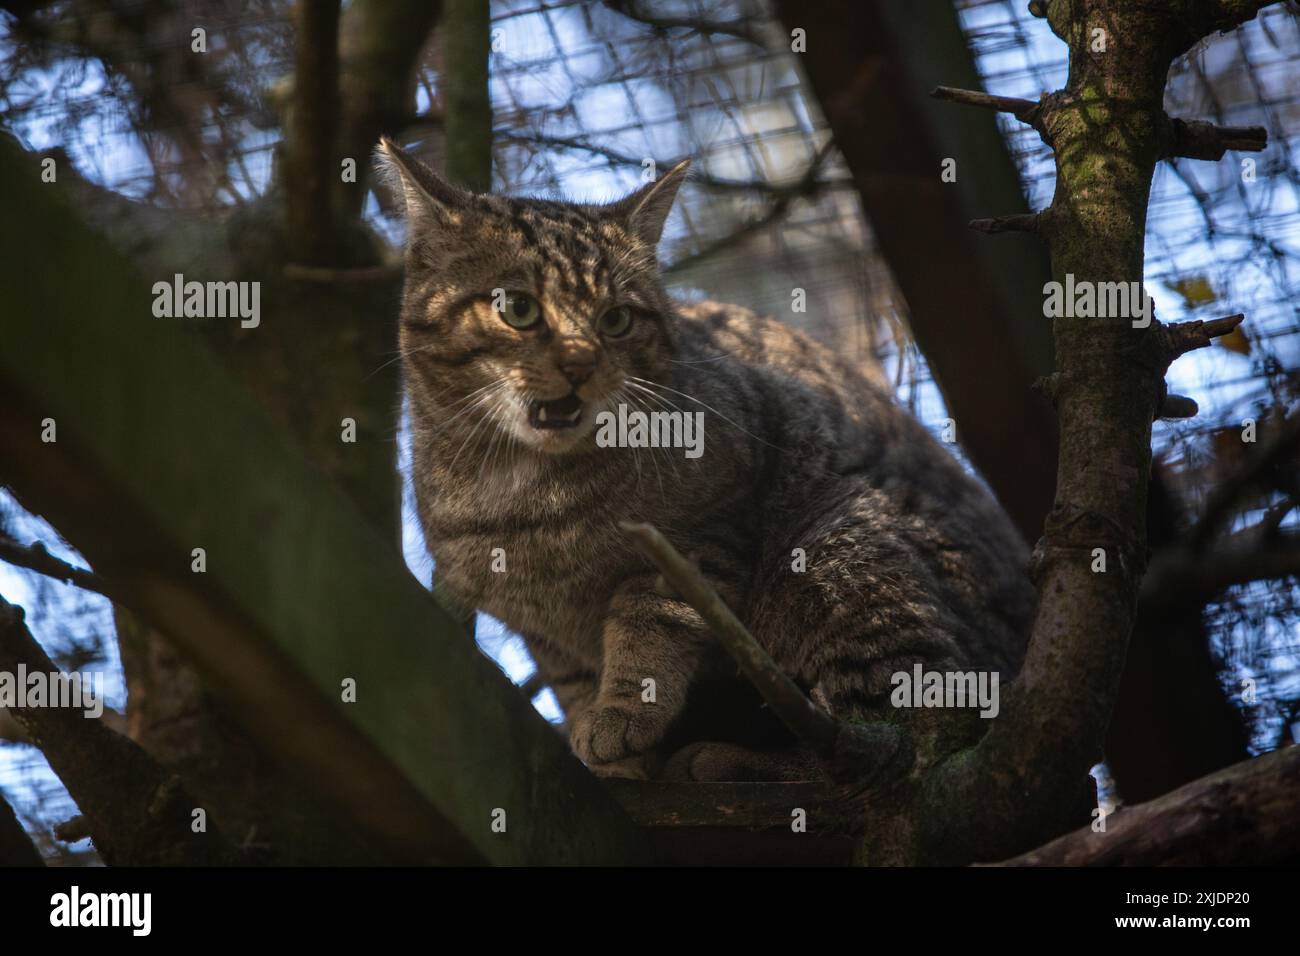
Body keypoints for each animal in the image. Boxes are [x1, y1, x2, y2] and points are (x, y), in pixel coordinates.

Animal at [377, 138, 1034, 780]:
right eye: (517, 308)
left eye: (616, 319)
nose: (580, 363)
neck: (522, 497)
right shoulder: (541, 632)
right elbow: (575, 679)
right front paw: (603, 735)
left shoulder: (701, 533)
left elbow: (649, 623)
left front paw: (622, 713)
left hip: (841, 550)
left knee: (900, 739)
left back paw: (743, 762)